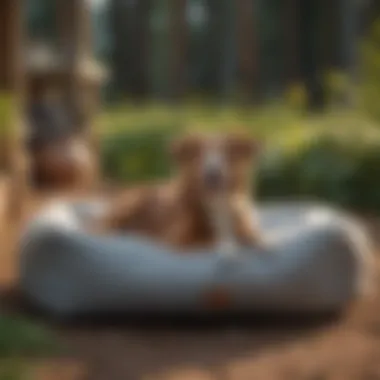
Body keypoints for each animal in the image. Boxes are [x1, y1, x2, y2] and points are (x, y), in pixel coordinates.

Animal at [95, 132, 268, 260]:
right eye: (199, 154)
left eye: (226, 153)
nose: (212, 173)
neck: (217, 203)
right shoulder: (177, 240)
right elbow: (209, 240)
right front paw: (229, 248)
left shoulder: (244, 224)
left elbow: (253, 235)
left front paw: (263, 242)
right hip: (130, 204)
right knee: (101, 227)